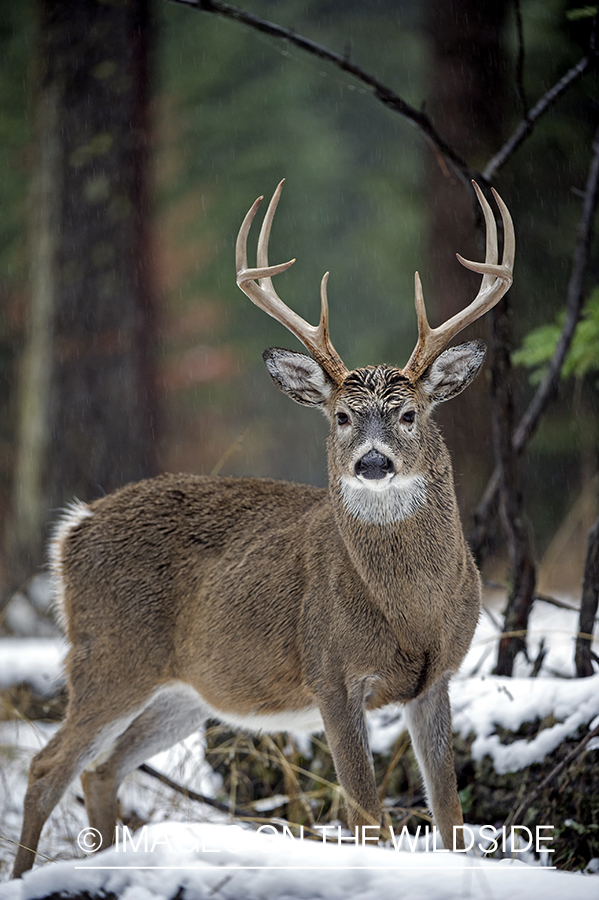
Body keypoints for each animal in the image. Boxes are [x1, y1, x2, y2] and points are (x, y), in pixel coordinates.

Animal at [11, 179, 512, 876]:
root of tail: (73, 530)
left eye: (409, 413)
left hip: (185, 690)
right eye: (340, 418)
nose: (373, 462)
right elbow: (367, 816)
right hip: (108, 653)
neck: (410, 613)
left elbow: (451, 814)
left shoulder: (437, 677)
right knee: (47, 766)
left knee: (101, 769)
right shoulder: (330, 670)